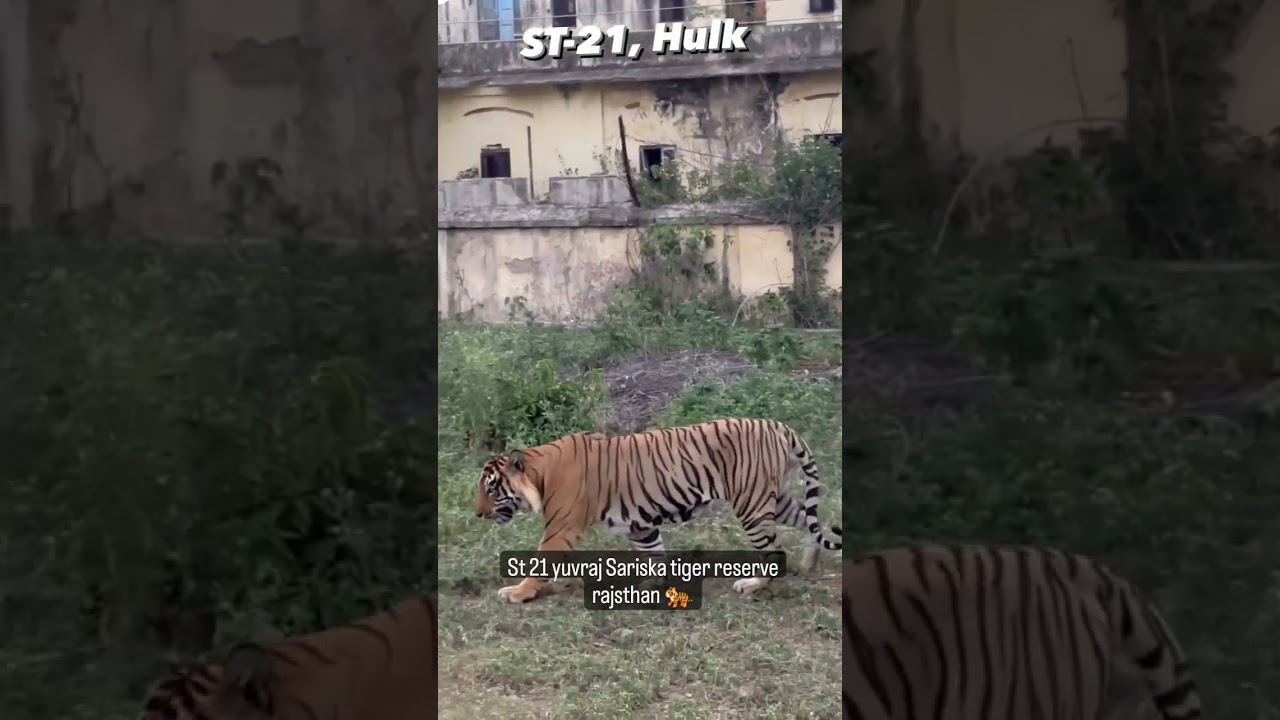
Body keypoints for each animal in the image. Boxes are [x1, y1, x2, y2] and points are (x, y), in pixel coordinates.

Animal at [474, 418, 843, 603]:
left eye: (491, 488)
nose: (477, 514)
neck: (540, 471)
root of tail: (779, 425)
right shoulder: (640, 523)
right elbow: (654, 553)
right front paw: (650, 585)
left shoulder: (560, 527)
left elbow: (539, 562)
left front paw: (518, 593)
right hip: (773, 499)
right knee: (811, 521)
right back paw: (811, 561)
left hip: (751, 502)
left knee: (774, 549)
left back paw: (754, 585)